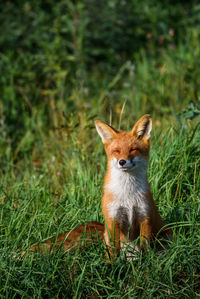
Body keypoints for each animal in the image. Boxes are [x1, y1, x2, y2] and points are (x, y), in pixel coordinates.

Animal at [24, 116, 172, 262]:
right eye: (116, 151)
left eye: (132, 149)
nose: (122, 162)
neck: (127, 194)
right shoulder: (113, 218)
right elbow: (113, 250)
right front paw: (112, 266)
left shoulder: (144, 217)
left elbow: (145, 246)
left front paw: (146, 264)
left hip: (166, 236)